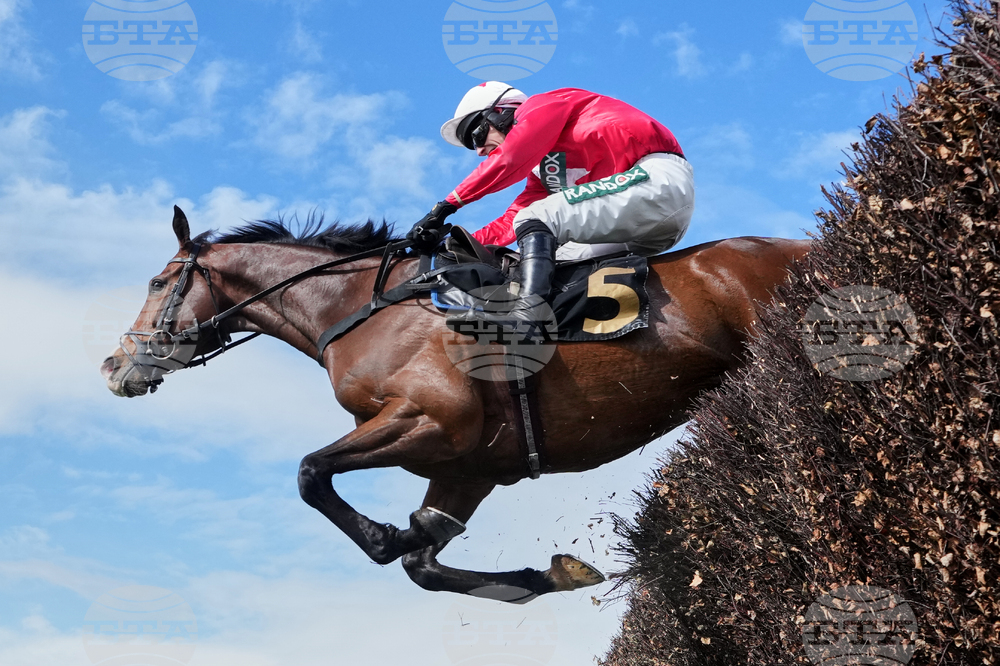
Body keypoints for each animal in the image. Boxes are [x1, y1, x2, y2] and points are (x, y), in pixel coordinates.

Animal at [101, 206, 811, 604]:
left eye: (159, 281)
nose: (113, 367)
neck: (359, 310)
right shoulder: (468, 466)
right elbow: (424, 562)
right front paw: (553, 575)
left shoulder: (432, 420)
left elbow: (311, 473)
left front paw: (382, 534)